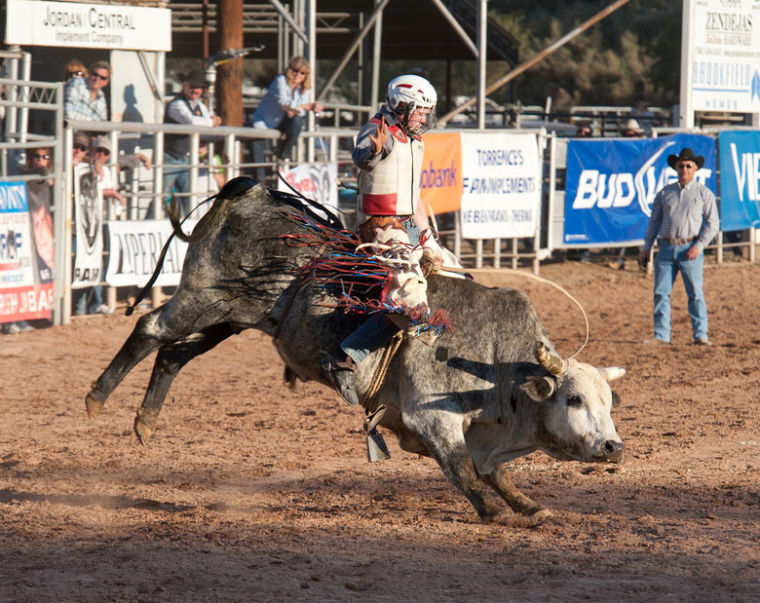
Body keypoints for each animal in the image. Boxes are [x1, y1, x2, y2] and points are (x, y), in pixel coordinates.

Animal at [86, 177, 625, 524]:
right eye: (573, 398)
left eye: (609, 402)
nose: (613, 447)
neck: (497, 362)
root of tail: (251, 191)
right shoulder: (434, 419)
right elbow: (464, 469)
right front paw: (497, 513)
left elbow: (493, 472)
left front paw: (529, 506)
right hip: (199, 297)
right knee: (151, 328)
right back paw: (97, 397)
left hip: (231, 317)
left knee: (175, 354)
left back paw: (145, 421)